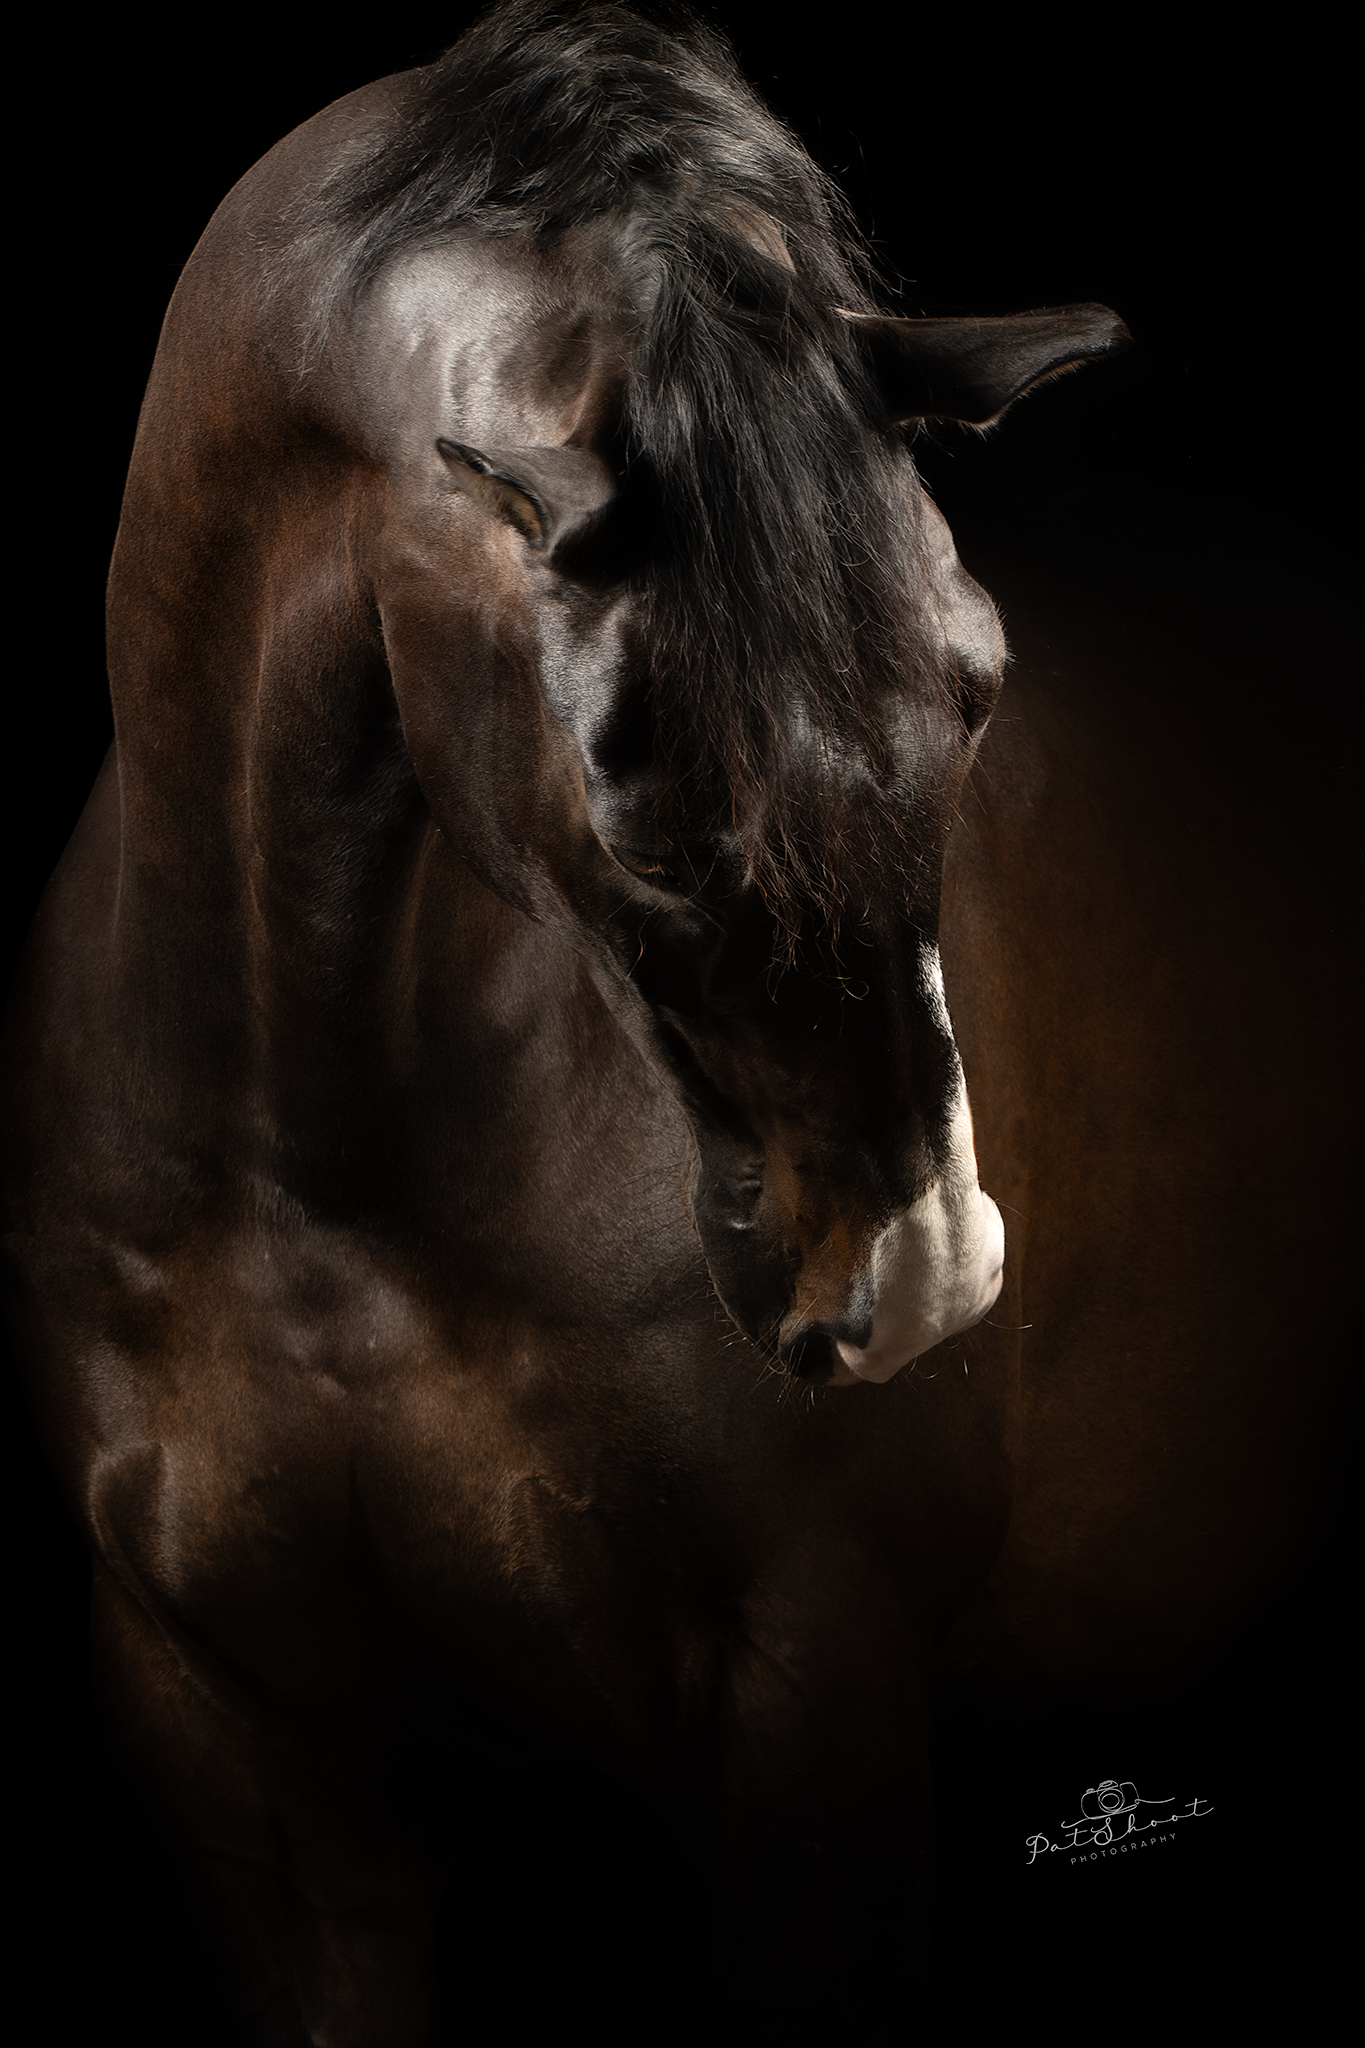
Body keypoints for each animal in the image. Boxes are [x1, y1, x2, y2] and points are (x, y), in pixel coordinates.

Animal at [4, 4, 1348, 2039]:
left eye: (977, 686)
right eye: (634, 813)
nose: (922, 1274)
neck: (320, 1162)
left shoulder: (811, 1724)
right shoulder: (240, 1761)